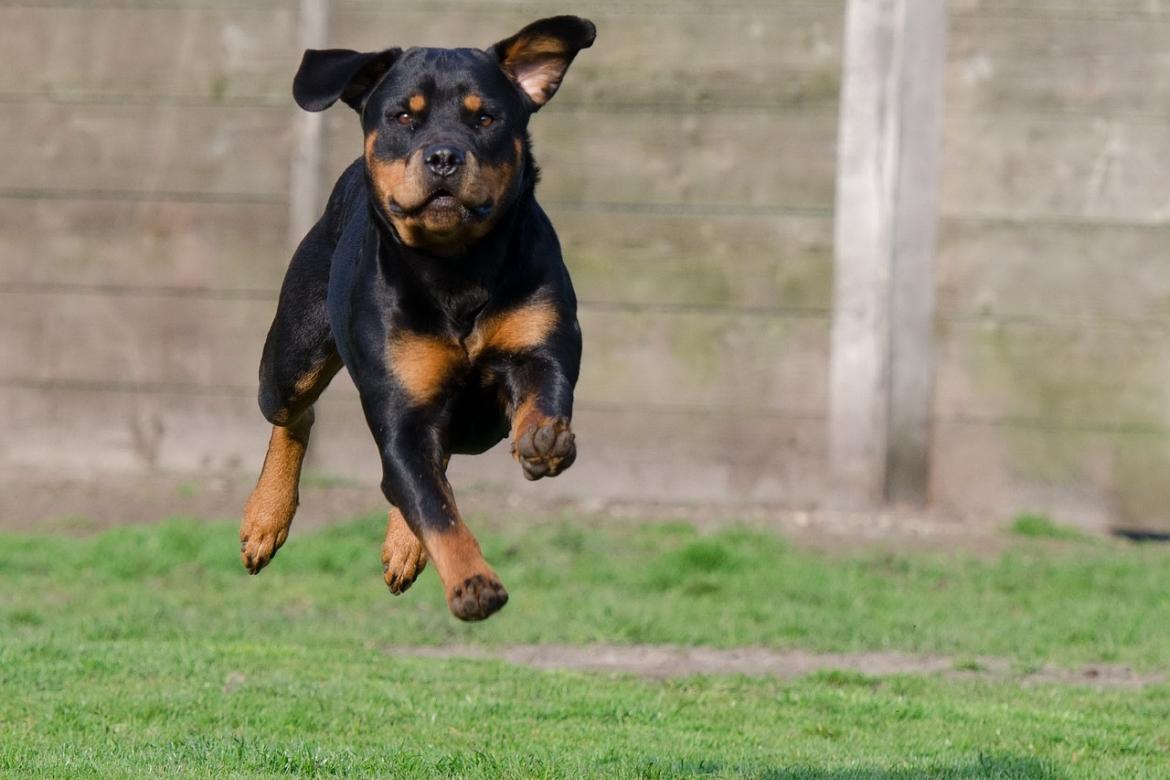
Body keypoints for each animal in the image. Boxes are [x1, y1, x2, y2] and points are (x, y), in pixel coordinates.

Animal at [241, 15, 599, 622]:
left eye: (486, 117)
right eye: (403, 116)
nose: (444, 156)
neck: (455, 267)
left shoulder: (542, 341)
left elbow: (542, 391)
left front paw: (542, 438)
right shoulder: (401, 404)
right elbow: (433, 507)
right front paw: (473, 584)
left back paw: (401, 545)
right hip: (289, 360)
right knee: (297, 415)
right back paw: (265, 521)